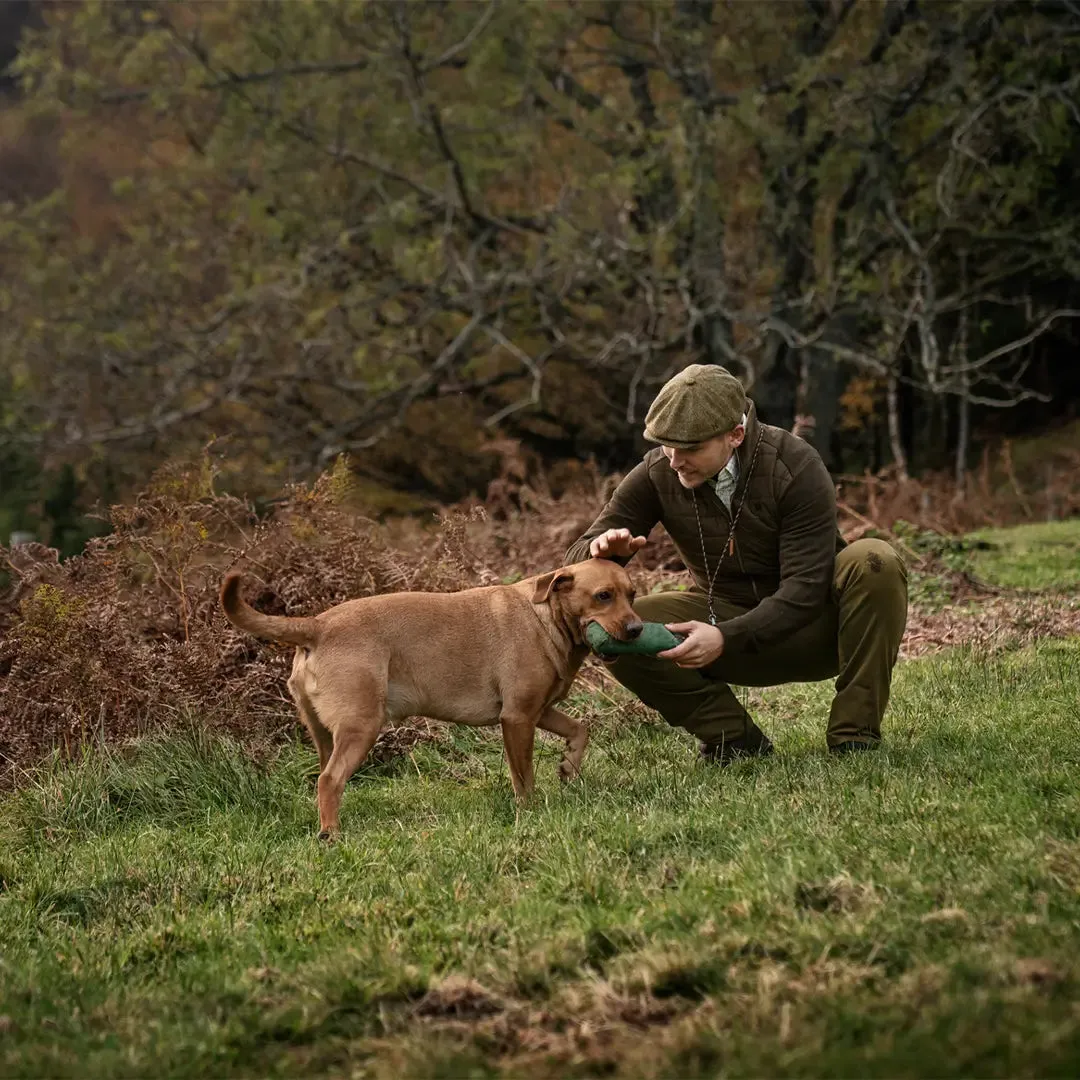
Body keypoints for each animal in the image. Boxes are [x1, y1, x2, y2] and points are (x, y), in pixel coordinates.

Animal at [220, 561, 639, 838]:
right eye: (603, 596)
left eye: (632, 594)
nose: (637, 629)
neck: (547, 617)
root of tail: (318, 625)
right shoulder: (518, 718)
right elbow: (524, 778)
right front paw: (531, 811)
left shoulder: (540, 710)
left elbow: (580, 730)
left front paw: (569, 767)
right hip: (361, 727)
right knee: (329, 780)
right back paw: (332, 835)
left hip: (326, 734)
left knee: (325, 779)